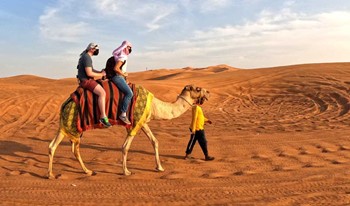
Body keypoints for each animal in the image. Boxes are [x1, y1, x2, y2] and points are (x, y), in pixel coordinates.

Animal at [47, 84, 209, 178]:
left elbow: (155, 141)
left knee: (70, 147)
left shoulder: (143, 122)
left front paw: (160, 167)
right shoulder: (134, 121)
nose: (208, 92)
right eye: (197, 89)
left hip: (70, 126)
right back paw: (51, 174)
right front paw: (126, 171)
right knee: (55, 146)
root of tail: (65, 103)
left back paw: (87, 171)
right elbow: (125, 147)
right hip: (71, 122)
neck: (155, 106)